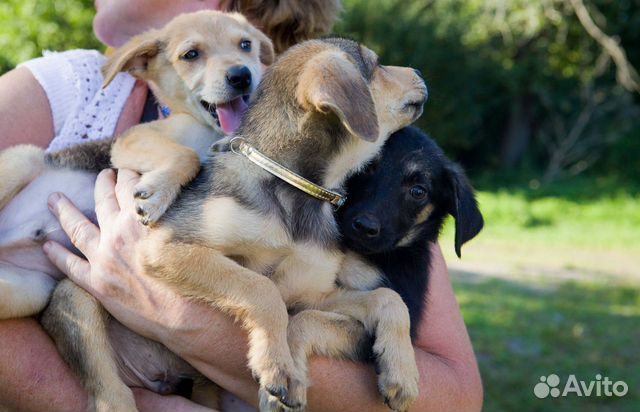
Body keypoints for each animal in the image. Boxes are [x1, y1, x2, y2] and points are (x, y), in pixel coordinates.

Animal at [42, 37, 428, 410]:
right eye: (376, 66)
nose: (420, 74)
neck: (294, 189)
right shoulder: (165, 248)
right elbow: (260, 288)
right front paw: (276, 366)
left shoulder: (306, 294)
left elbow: (386, 298)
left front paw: (400, 373)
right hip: (76, 300)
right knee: (109, 392)